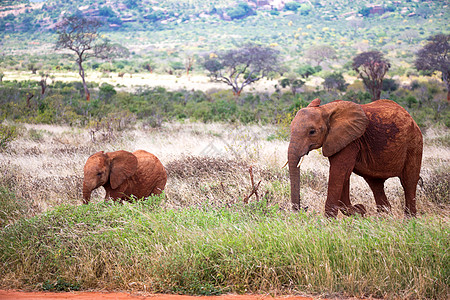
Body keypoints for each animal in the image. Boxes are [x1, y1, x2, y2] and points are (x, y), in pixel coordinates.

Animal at [288, 98, 422, 218]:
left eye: (312, 132)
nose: (303, 209)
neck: (325, 109)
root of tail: (410, 117)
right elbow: (344, 174)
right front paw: (359, 210)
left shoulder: (351, 141)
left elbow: (339, 172)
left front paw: (327, 223)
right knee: (376, 184)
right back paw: (385, 218)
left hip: (414, 144)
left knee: (408, 182)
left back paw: (409, 220)